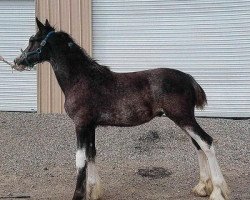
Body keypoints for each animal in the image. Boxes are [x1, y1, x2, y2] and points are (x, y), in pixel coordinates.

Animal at [13, 18, 229, 199]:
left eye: (33, 40)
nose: (17, 61)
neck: (82, 79)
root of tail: (189, 78)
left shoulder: (81, 125)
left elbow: (80, 159)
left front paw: (79, 195)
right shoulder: (90, 126)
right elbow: (91, 153)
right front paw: (93, 191)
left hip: (183, 118)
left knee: (206, 142)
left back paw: (217, 191)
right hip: (184, 120)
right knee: (198, 145)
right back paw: (202, 187)